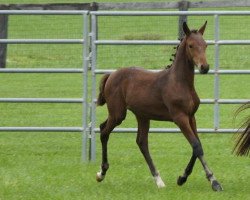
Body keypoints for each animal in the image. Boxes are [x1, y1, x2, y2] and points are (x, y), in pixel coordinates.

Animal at [95, 21, 223, 191]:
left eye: (205, 44)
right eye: (190, 45)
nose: (205, 67)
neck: (180, 82)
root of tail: (111, 74)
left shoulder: (191, 117)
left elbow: (197, 145)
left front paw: (182, 178)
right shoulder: (180, 117)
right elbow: (196, 146)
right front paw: (214, 181)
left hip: (142, 115)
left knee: (141, 142)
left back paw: (158, 180)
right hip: (118, 114)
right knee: (104, 131)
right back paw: (101, 173)